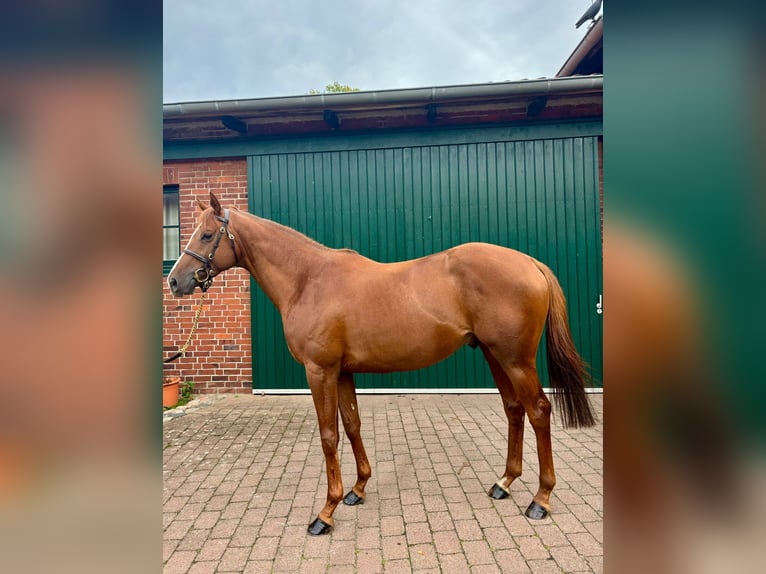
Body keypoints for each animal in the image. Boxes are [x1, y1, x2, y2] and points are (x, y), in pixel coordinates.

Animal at [171, 192, 596, 536]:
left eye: (206, 235)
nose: (176, 282)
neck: (309, 280)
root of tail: (530, 263)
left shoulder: (320, 370)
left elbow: (329, 436)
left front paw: (325, 513)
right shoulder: (342, 371)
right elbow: (352, 425)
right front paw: (357, 490)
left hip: (516, 359)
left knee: (538, 410)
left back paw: (540, 499)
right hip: (496, 355)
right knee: (514, 410)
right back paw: (504, 482)